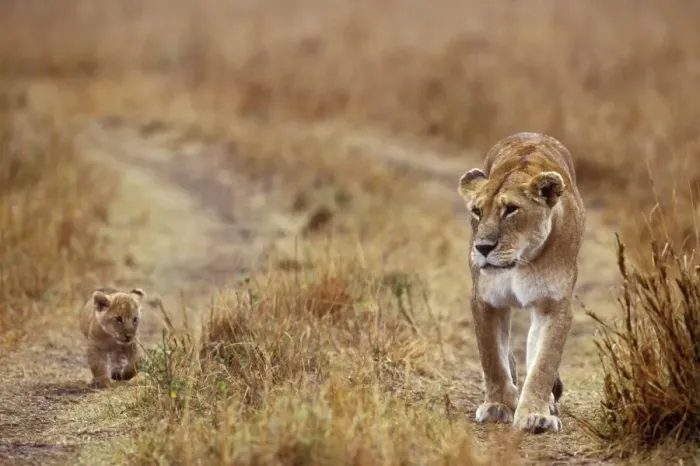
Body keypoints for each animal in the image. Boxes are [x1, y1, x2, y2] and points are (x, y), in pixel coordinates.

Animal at [457, 132, 585, 434]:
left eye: (511, 210)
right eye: (477, 211)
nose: (483, 247)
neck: (520, 261)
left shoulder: (554, 305)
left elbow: (543, 363)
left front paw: (536, 415)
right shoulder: (485, 300)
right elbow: (492, 358)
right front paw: (497, 405)